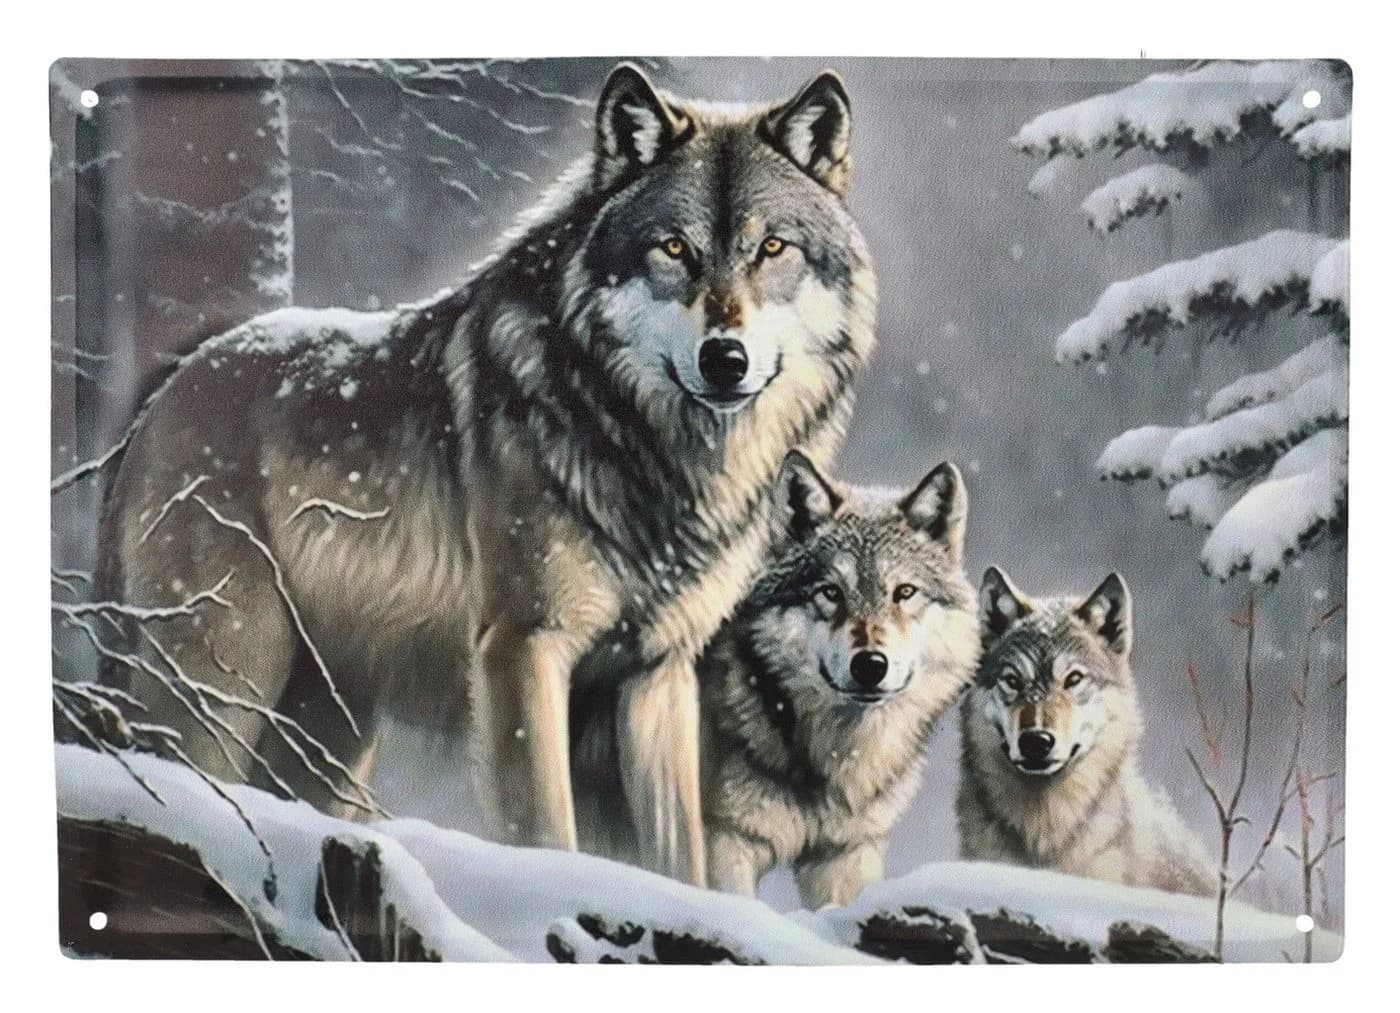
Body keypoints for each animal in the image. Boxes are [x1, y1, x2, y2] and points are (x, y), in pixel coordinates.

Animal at [94, 63, 876, 885]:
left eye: (773, 248)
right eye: (673, 248)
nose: (725, 359)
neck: (646, 445)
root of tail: (159, 397)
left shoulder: (658, 674)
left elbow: (680, 856)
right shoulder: (523, 646)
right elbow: (547, 835)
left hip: (331, 733)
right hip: (222, 686)